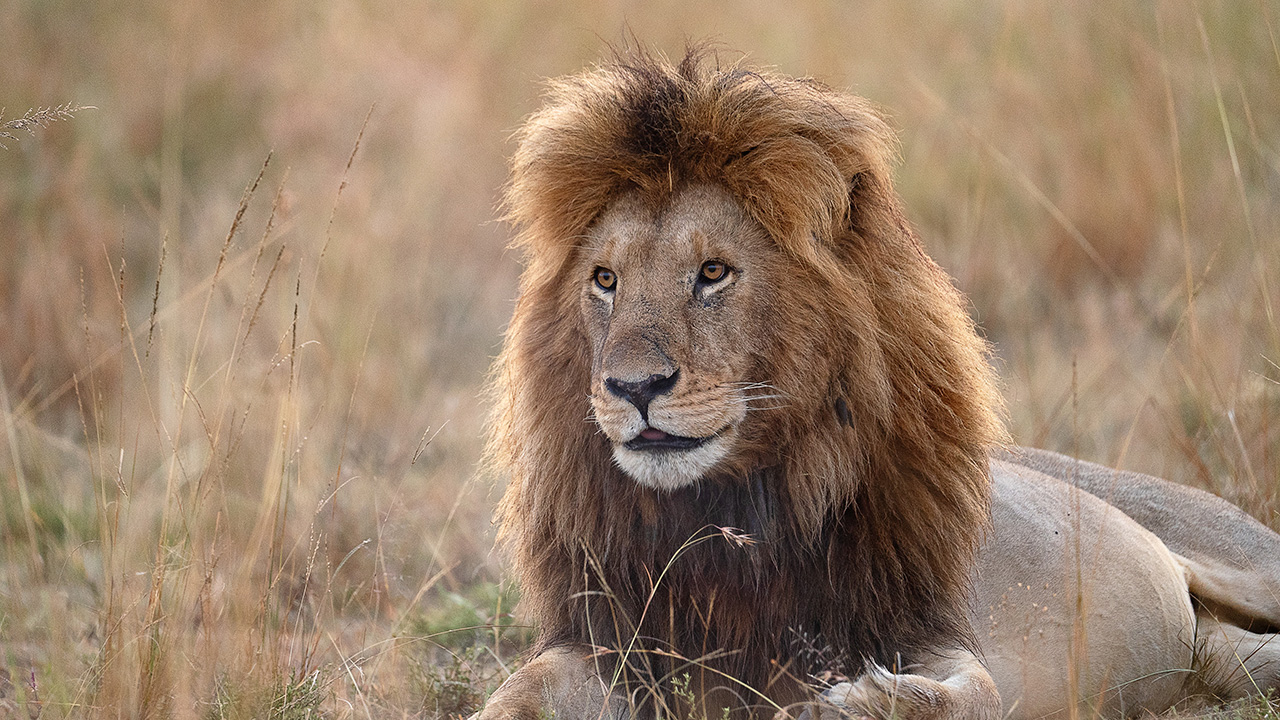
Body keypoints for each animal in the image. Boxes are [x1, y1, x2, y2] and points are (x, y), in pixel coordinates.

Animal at [478, 50, 1280, 717]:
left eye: (712, 272)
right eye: (604, 280)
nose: (633, 387)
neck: (727, 518)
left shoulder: (932, 631)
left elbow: (972, 697)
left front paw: (848, 702)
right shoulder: (615, 642)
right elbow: (512, 695)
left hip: (1247, 561)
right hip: (1222, 657)